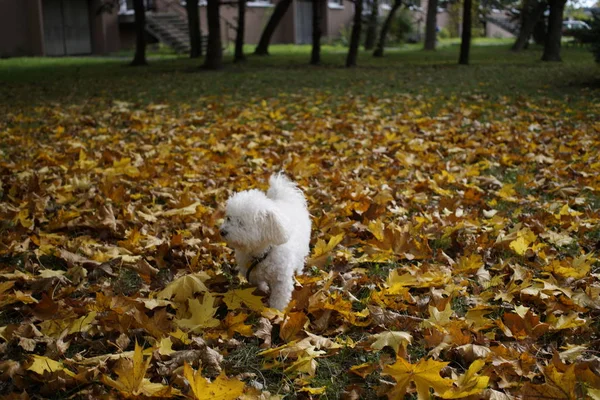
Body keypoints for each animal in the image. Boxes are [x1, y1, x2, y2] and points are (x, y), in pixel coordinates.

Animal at [221, 173, 314, 310]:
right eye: (228, 218)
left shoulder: (281, 280)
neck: (260, 253)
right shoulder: (252, 274)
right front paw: (263, 290)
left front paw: (276, 311)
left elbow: (279, 298)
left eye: (241, 223)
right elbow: (258, 283)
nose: (222, 231)